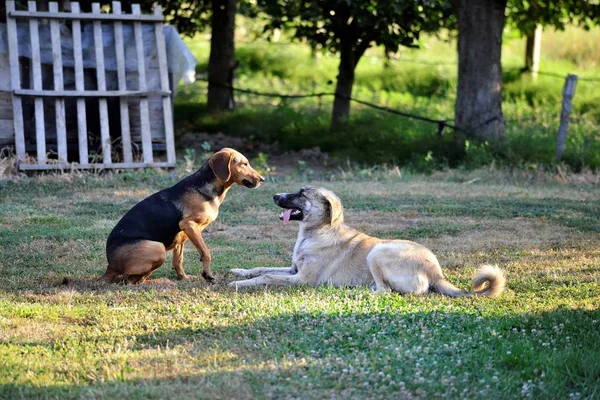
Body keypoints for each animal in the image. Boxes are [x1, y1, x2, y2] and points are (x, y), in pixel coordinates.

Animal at [102, 148, 264, 284]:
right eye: (244, 164)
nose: (262, 179)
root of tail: (110, 266)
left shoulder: (183, 236)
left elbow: (178, 260)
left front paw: (183, 278)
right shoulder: (188, 225)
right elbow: (206, 253)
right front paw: (207, 275)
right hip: (158, 248)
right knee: (132, 280)